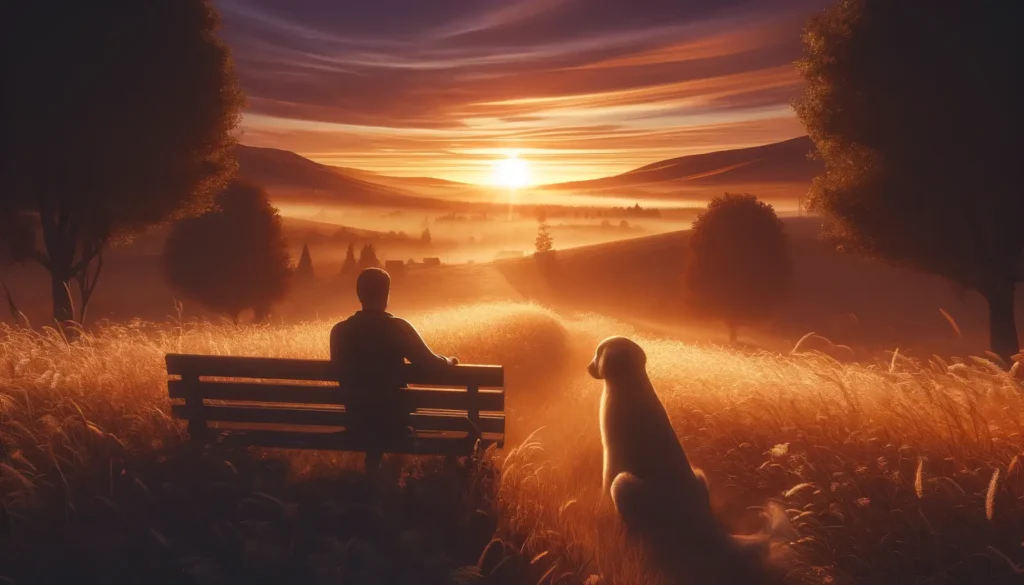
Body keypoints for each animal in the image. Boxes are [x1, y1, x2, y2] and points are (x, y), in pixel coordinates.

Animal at [585, 336, 790, 581]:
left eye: (598, 352)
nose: (587, 367)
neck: (632, 383)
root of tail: (706, 522)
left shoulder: (612, 457)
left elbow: (604, 487)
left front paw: (600, 512)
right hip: (698, 473)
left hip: (625, 483)